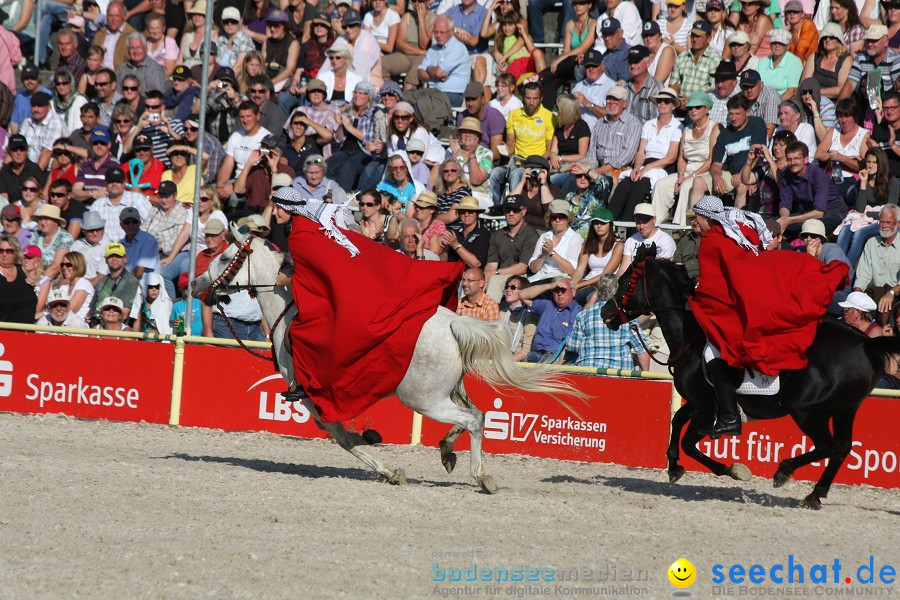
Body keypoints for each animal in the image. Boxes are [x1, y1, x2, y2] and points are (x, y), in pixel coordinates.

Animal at [192, 225, 580, 492]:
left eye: (225, 258)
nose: (195, 285)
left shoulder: (314, 399)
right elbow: (346, 436)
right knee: (478, 414)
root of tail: (452, 321)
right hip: (450, 390)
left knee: (472, 420)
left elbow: (342, 438)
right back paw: (448, 451)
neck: (289, 313)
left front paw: (388, 467)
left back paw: (480, 476)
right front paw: (376, 443)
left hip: (424, 399)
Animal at [596, 246, 900, 508]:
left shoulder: (706, 411)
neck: (690, 336)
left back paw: (784, 471)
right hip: (844, 410)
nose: (604, 312)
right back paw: (815, 494)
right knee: (843, 448)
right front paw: (674, 466)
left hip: (808, 412)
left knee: (830, 446)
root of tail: (865, 343)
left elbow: (688, 441)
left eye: (625, 281)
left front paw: (732, 469)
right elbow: (676, 422)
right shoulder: (698, 404)